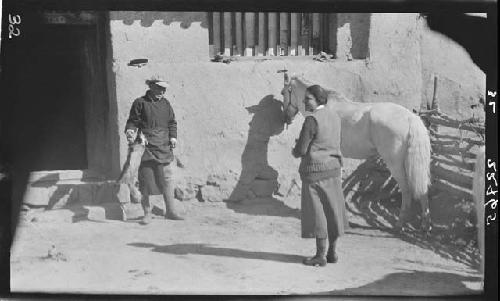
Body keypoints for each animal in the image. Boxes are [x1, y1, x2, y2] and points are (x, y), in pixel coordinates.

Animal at [282, 74, 434, 231]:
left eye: (283, 93)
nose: (286, 117)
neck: (324, 107)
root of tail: (411, 118)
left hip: (395, 164)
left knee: (407, 190)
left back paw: (400, 224)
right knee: (422, 190)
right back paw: (425, 225)